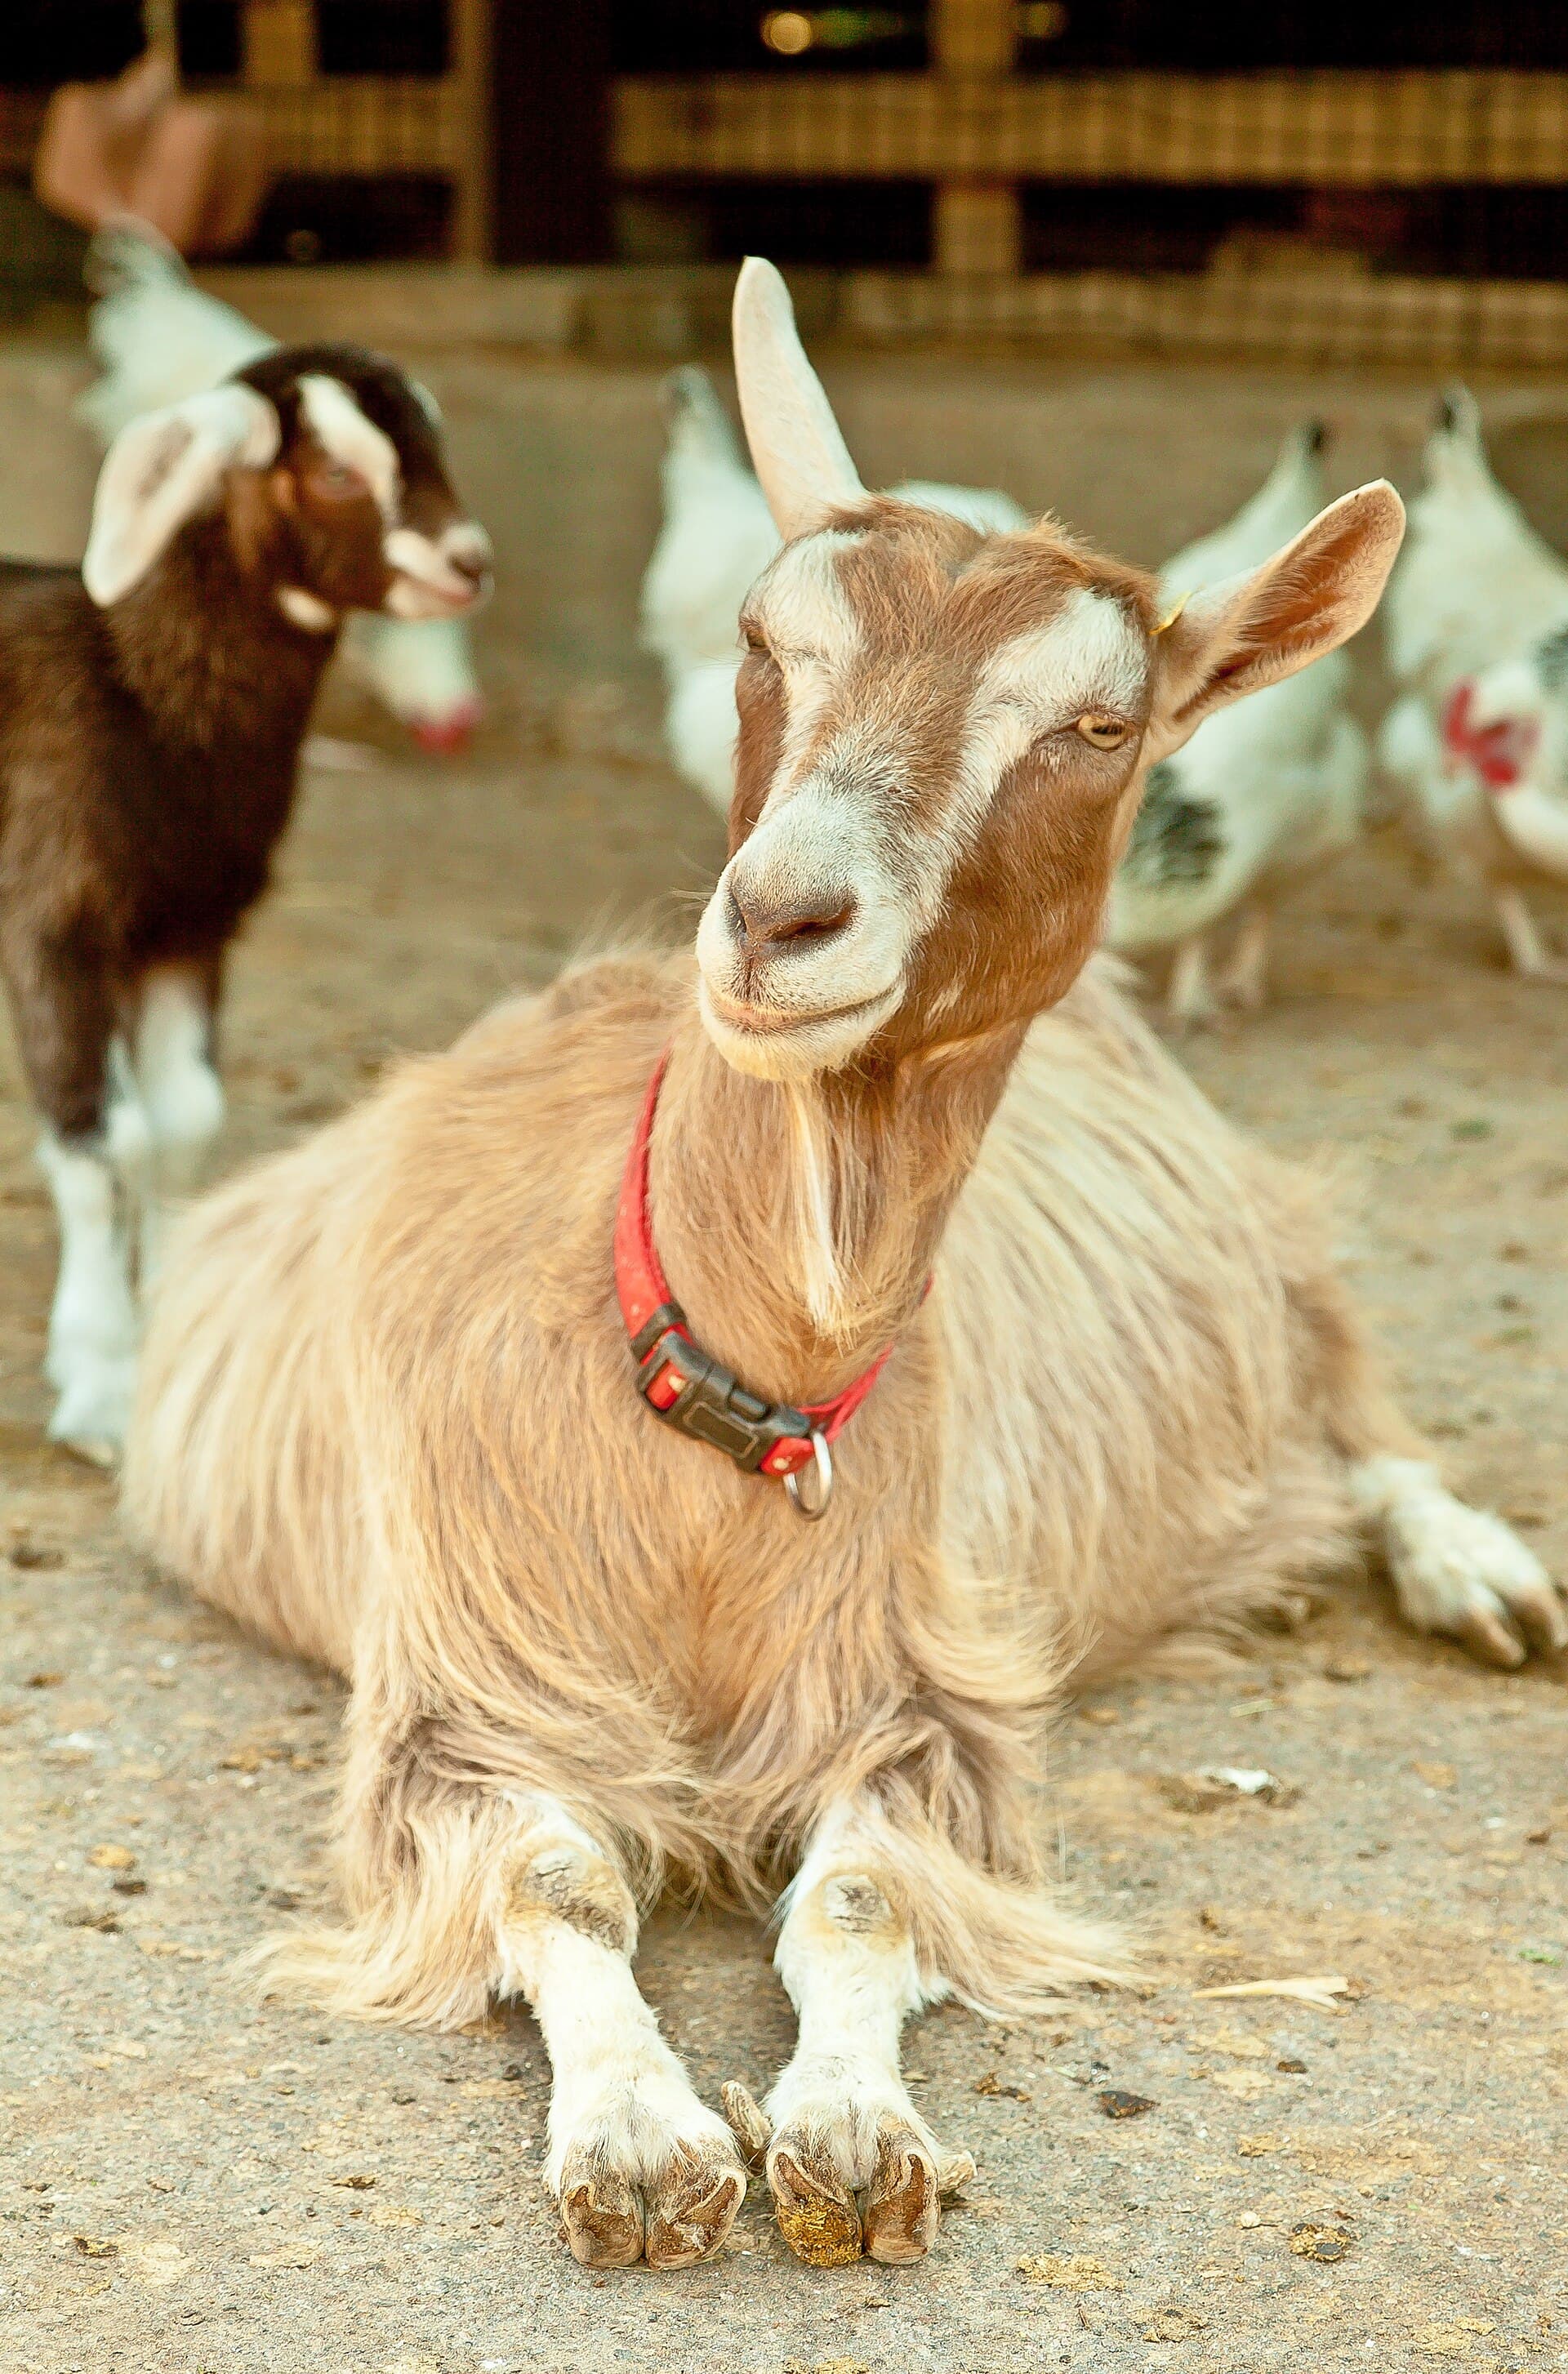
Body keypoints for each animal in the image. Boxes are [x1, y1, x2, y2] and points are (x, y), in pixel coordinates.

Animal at [1, 341, 490, 1461]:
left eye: (432, 440)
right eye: (336, 473)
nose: (467, 562)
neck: (137, 695)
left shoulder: (188, 926)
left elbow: (187, 1120)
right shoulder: (50, 920)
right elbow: (107, 1145)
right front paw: (99, 1386)